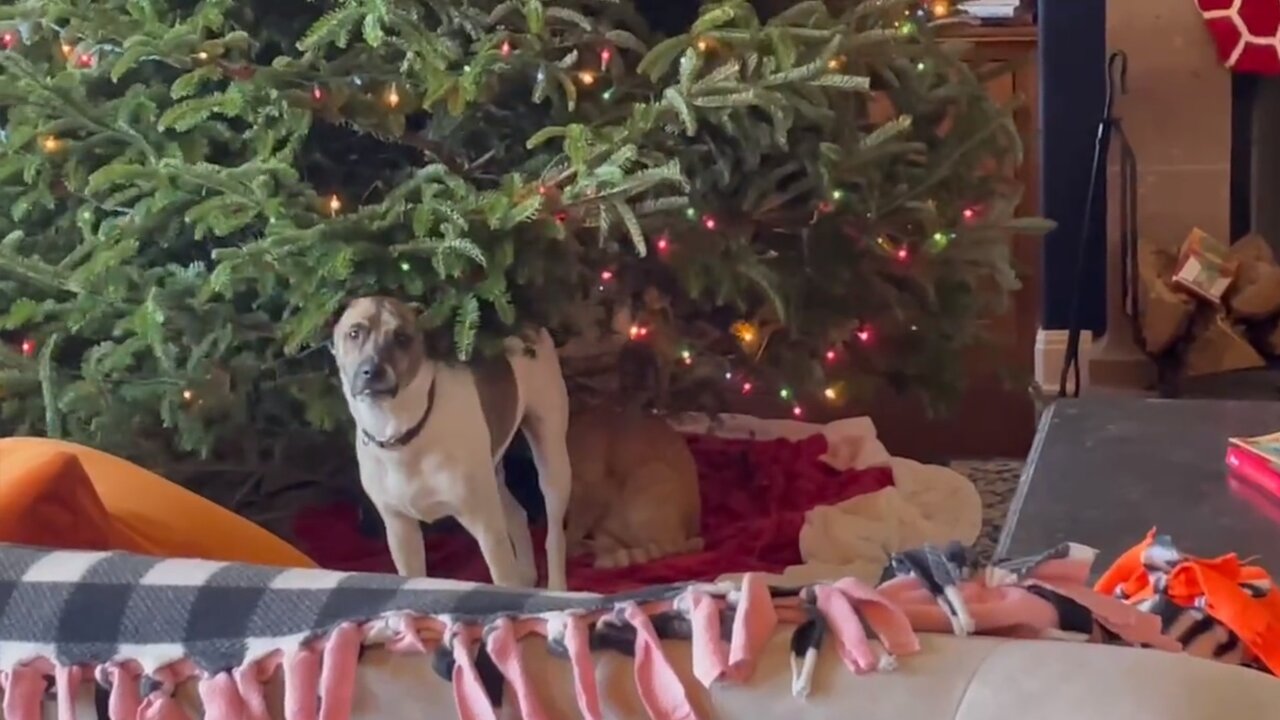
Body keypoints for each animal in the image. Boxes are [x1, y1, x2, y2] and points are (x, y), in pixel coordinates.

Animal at [332, 294, 573, 586]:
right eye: (354, 333)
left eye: (402, 337)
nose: (372, 371)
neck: (402, 432)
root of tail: (523, 319)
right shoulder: (400, 530)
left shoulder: (486, 529)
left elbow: (503, 576)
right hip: (492, 473)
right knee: (517, 514)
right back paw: (527, 575)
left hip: (551, 458)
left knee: (554, 534)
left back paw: (556, 584)